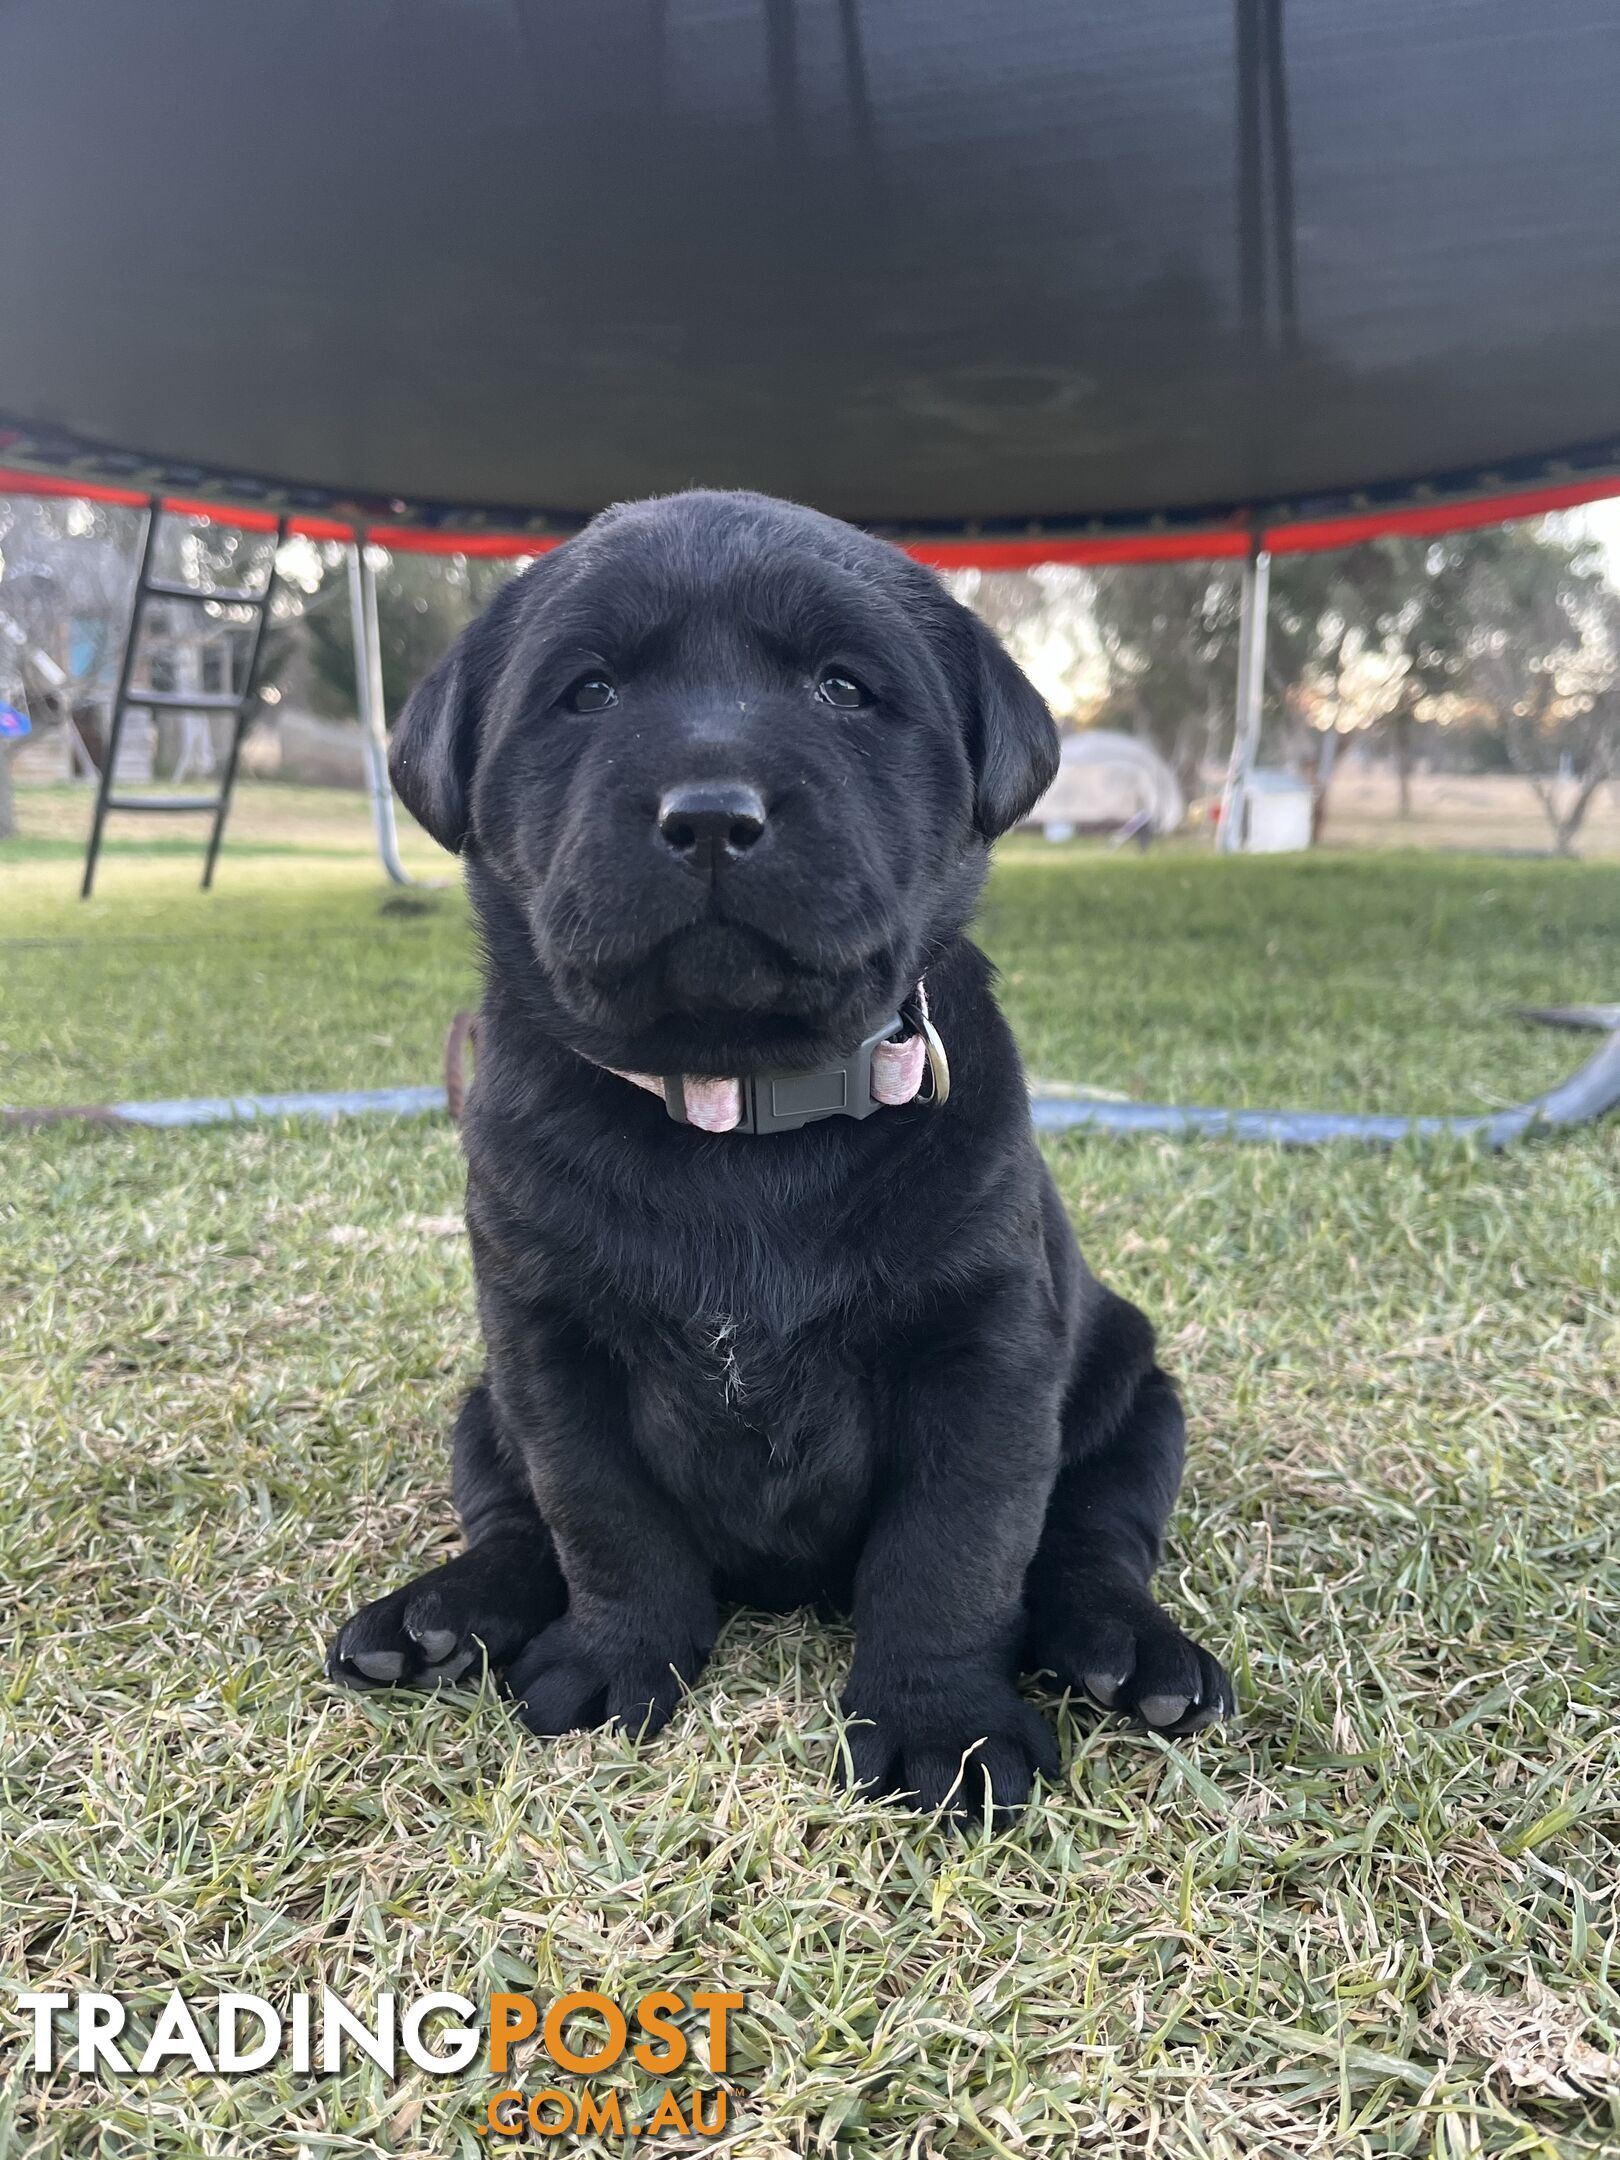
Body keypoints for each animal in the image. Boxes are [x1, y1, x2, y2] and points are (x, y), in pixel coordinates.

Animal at [330, 486, 1226, 1805]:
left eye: (843, 688)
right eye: (588, 691)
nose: (710, 815)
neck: (739, 1110)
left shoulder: (985, 1354)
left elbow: (956, 1549)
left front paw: (943, 1722)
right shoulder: (547, 1345)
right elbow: (601, 1515)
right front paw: (616, 1659)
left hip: (1136, 1395)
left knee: (1092, 1541)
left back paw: (1130, 1652)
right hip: (481, 1409)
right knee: (512, 1522)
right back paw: (440, 1615)